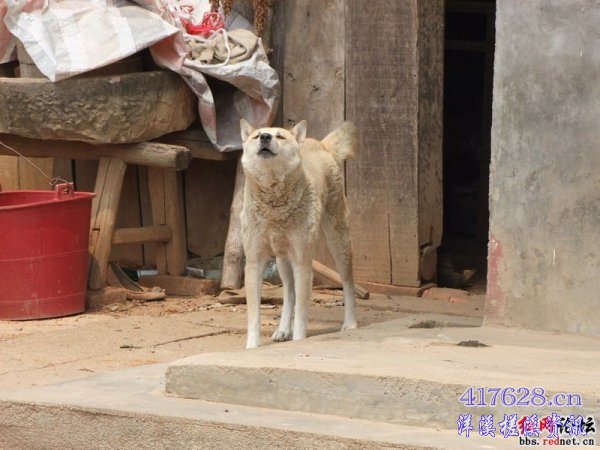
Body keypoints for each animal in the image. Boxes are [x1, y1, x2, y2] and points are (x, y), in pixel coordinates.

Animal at [240, 119, 358, 349]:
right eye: (257, 136)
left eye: (280, 136)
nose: (265, 137)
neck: (274, 204)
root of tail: (321, 144)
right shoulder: (254, 262)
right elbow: (254, 316)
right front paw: (251, 347)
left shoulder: (303, 262)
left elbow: (302, 313)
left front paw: (298, 341)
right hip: (283, 259)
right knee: (289, 292)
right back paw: (283, 329)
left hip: (339, 243)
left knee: (348, 284)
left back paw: (350, 323)